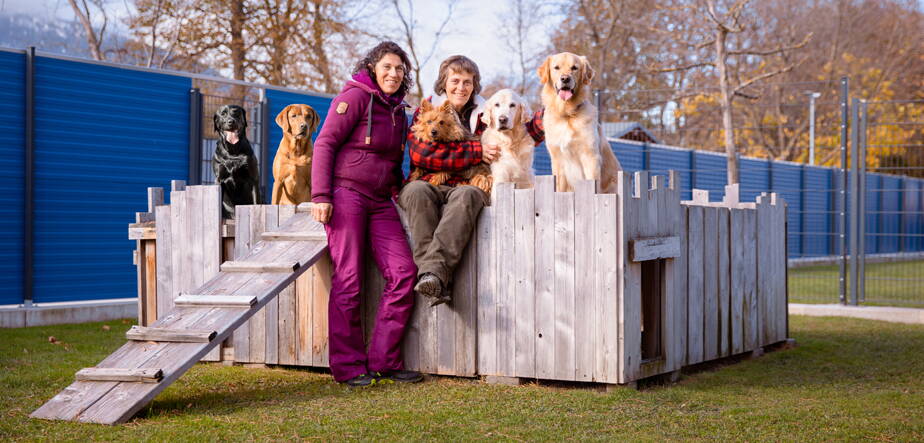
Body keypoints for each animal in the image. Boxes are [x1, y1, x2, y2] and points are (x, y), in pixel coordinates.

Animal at [536, 52, 620, 193]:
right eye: (556, 67)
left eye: (574, 68)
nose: (565, 79)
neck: (567, 114)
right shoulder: (557, 160)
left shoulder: (590, 157)